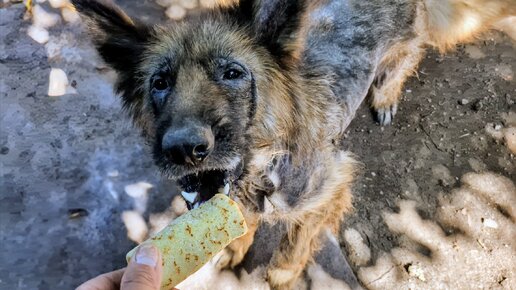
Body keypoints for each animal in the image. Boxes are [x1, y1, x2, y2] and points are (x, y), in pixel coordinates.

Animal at [73, 0, 516, 288]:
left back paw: (386, 96)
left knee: (404, 63)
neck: (266, 164)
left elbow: (294, 243)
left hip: (403, 47)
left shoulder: (331, 187)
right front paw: (235, 246)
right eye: (160, 83)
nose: (183, 149)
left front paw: (282, 275)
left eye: (233, 73)